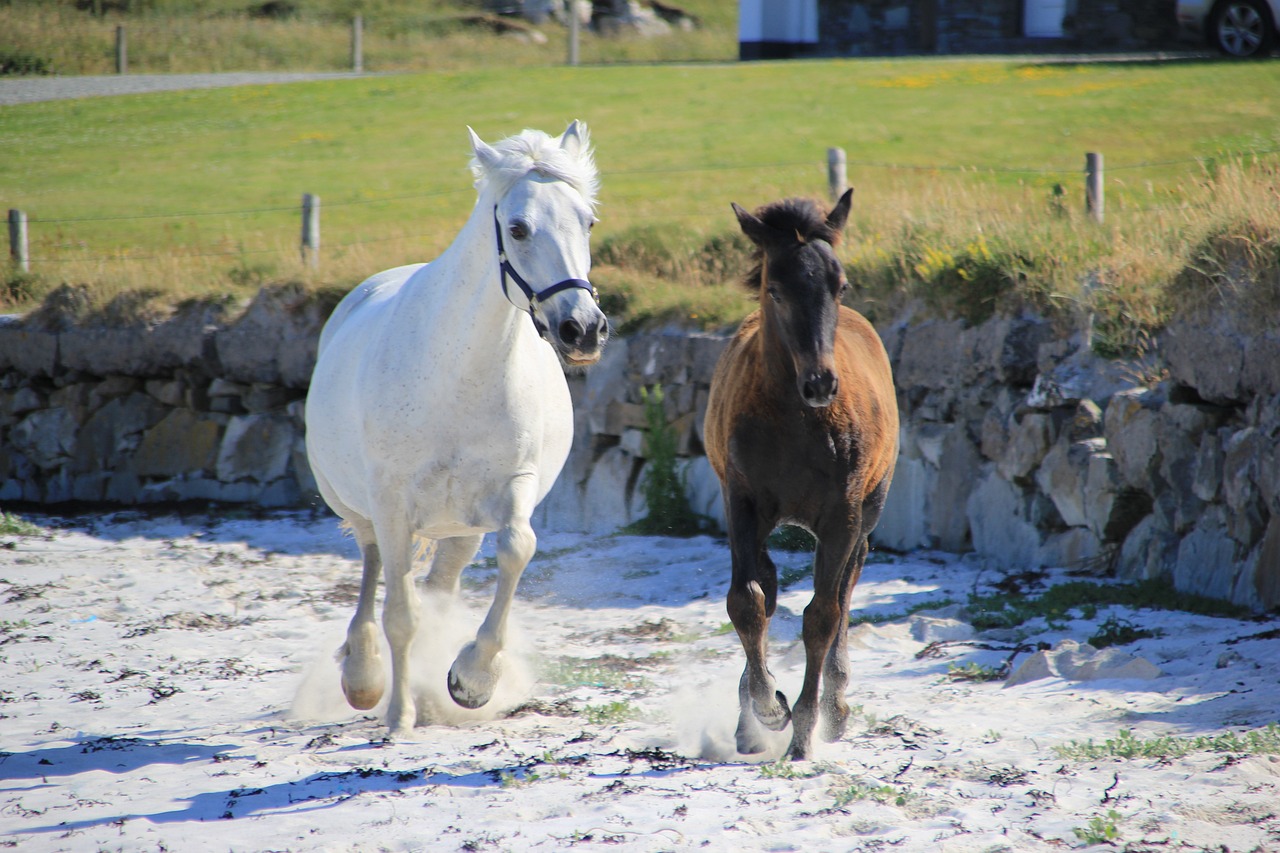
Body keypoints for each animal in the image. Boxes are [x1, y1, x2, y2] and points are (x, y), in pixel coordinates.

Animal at [308, 119, 609, 732]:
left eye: (588, 221)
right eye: (517, 228)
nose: (584, 330)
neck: (457, 375)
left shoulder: (512, 489)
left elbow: (517, 548)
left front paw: (471, 678)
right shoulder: (392, 502)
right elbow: (400, 612)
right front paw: (398, 717)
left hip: (458, 529)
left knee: (439, 586)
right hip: (363, 506)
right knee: (374, 564)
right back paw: (365, 676)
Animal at [701, 188, 901, 758]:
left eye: (840, 284)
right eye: (775, 288)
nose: (820, 383)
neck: (794, 420)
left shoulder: (843, 515)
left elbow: (822, 615)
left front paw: (806, 729)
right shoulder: (740, 501)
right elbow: (747, 601)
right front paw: (768, 708)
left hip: (868, 510)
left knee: (847, 585)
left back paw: (835, 704)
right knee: (766, 584)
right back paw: (748, 718)